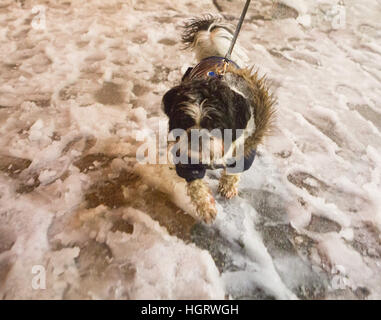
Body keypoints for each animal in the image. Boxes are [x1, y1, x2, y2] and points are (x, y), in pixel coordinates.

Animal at [160, 15, 274, 224]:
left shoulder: (245, 149)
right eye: (184, 122)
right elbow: (195, 183)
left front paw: (227, 186)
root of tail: (219, 57)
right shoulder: (187, 156)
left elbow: (235, 170)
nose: (196, 136)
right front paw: (206, 207)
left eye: (215, 125)